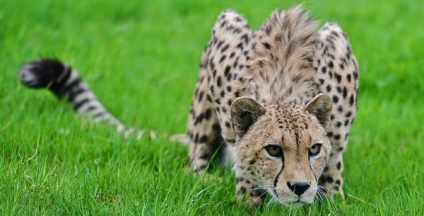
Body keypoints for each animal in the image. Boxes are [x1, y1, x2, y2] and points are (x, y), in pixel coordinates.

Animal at [188, 5, 358, 207]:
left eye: (314, 149)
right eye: (274, 150)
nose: (300, 187)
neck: (283, 91)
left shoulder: (339, 41)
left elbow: (334, 163)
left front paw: (333, 200)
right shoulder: (225, 30)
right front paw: (247, 198)